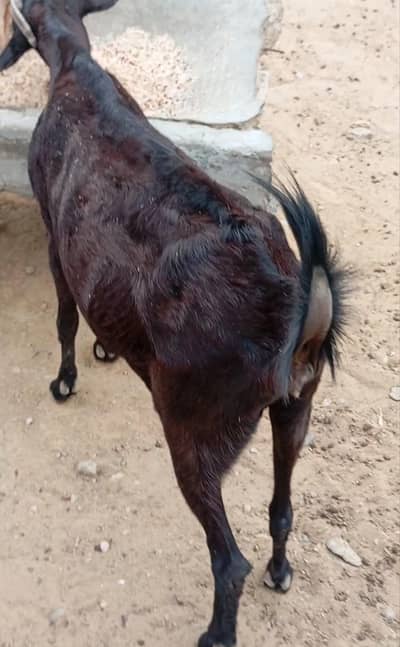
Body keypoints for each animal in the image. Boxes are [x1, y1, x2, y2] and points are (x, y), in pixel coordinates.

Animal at [0, 2, 347, 645]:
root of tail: (295, 315)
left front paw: (64, 382)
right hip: (298, 407)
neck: (77, 69)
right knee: (282, 507)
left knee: (228, 560)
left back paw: (217, 632)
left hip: (196, 426)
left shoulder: (54, 233)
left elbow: (64, 318)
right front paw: (107, 350)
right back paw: (281, 570)